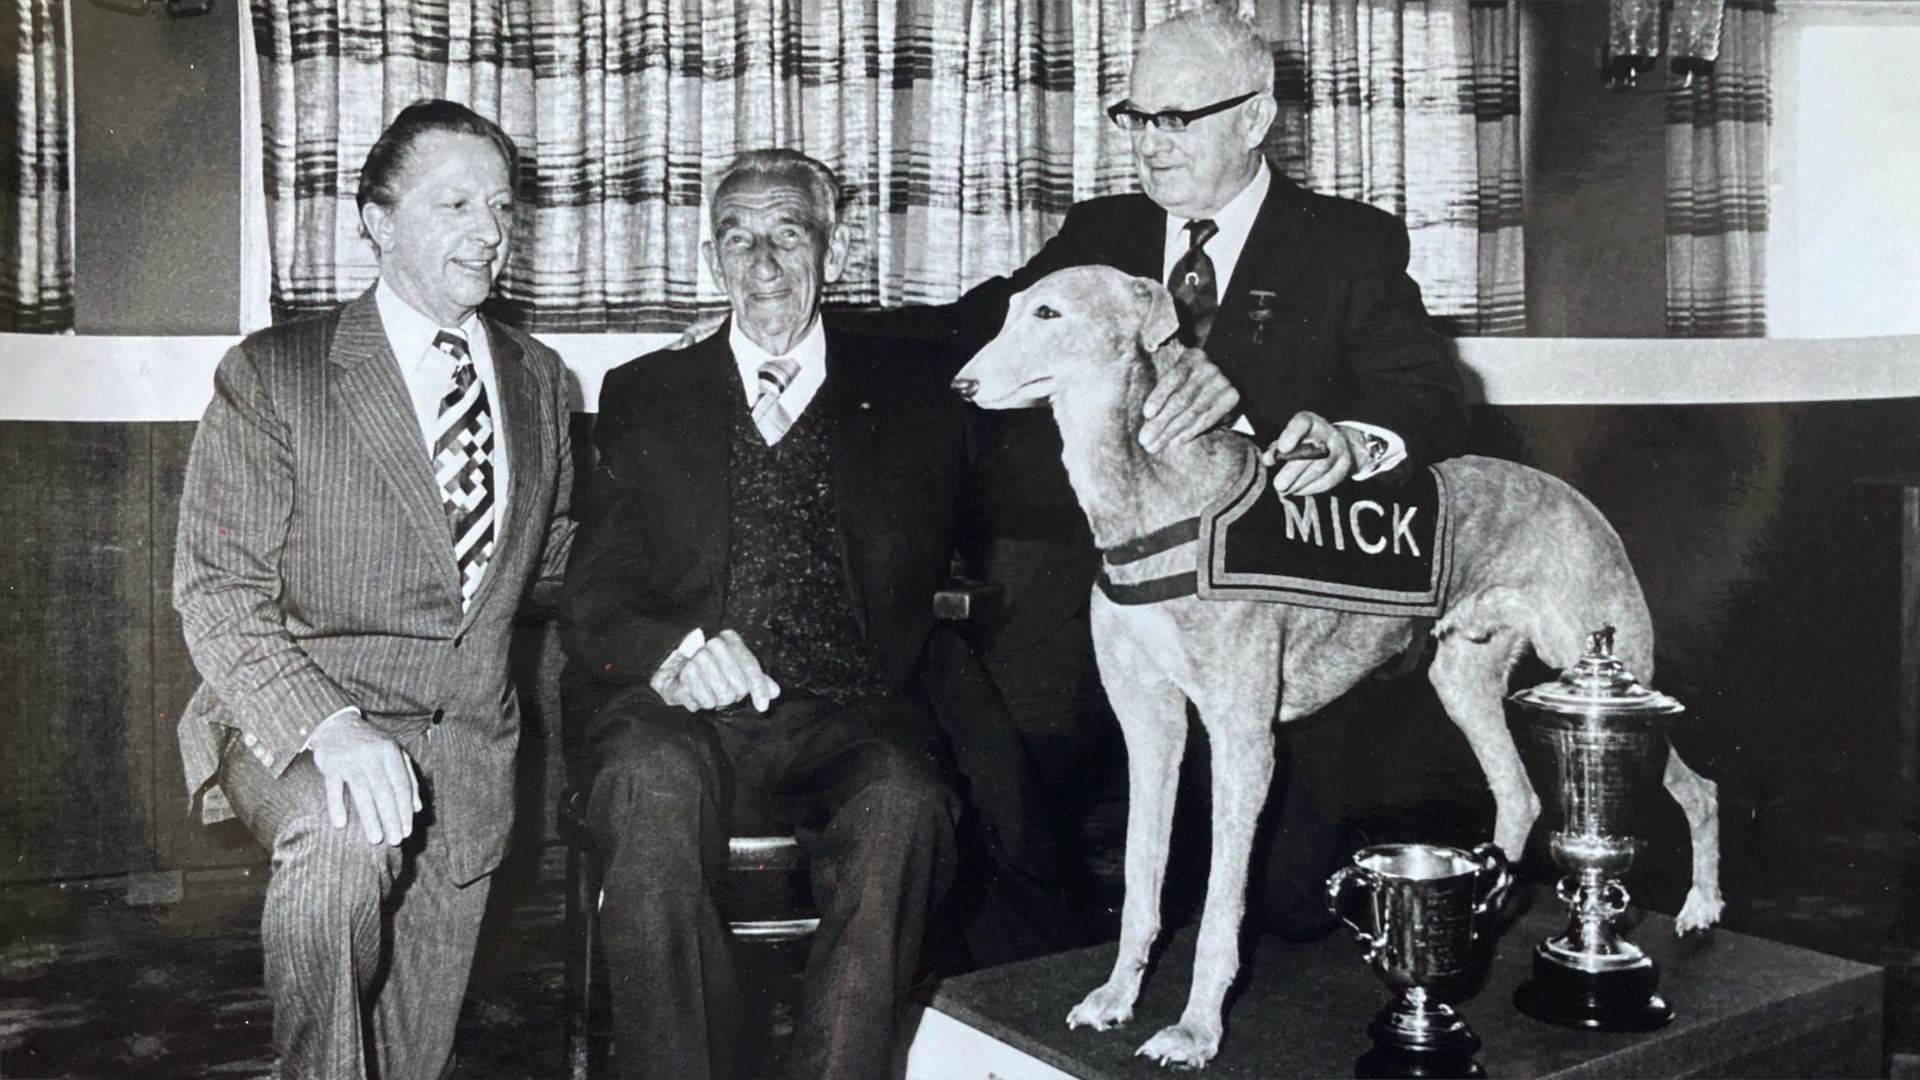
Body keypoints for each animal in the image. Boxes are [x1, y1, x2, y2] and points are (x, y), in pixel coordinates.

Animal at [951, 265, 1724, 1069]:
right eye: (1007, 308)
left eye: (1048, 312)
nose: (962, 384)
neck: (1155, 495)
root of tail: (1579, 501)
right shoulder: (1151, 723)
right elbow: (1141, 876)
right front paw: (1115, 997)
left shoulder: (1243, 739)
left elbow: (1223, 901)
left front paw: (1196, 1030)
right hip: (1465, 682)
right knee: (1520, 794)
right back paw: (1484, 912)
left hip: (1614, 685)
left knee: (1698, 789)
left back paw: (1699, 907)